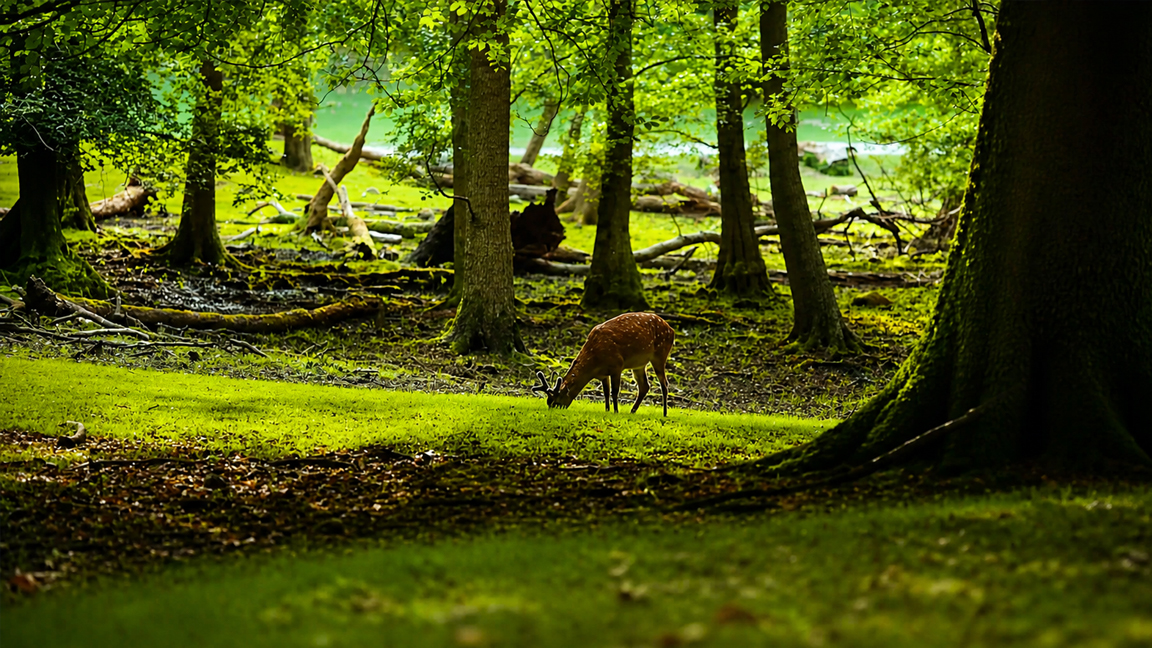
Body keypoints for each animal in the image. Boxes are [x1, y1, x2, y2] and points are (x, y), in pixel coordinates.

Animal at [532, 312, 675, 416]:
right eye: (548, 402)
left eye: (556, 401)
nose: (553, 411)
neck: (595, 362)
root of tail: (671, 330)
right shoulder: (603, 374)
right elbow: (606, 392)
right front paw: (607, 410)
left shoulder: (617, 365)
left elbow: (614, 391)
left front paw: (615, 411)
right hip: (639, 365)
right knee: (645, 386)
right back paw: (632, 411)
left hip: (660, 354)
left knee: (664, 383)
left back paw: (665, 413)